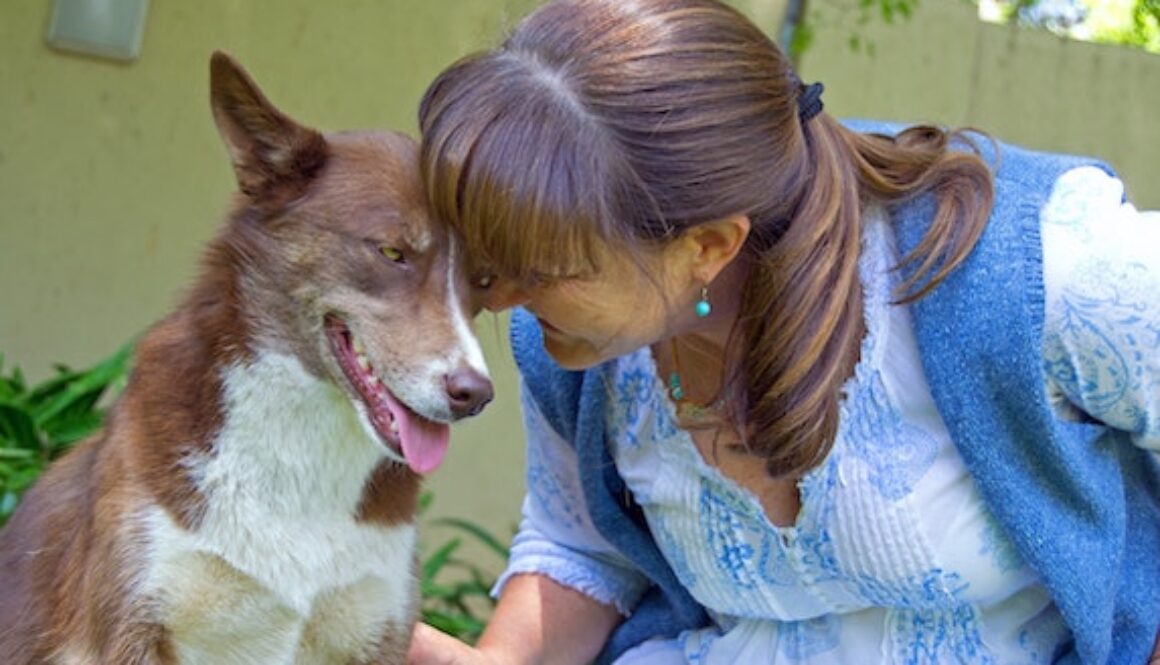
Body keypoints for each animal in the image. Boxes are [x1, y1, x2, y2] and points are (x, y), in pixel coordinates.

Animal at [0, 53, 491, 663]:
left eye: (484, 280)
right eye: (392, 252)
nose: (475, 394)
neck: (304, 446)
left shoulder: (379, 631)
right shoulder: (132, 628)